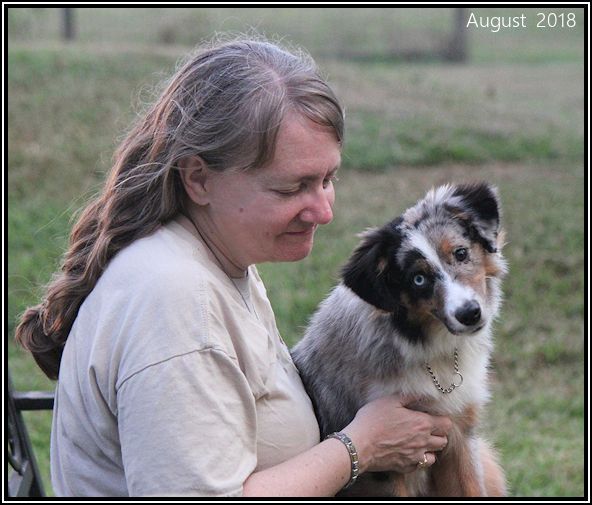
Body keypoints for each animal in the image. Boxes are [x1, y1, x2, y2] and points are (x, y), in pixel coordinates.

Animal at [291, 182, 508, 497]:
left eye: (461, 253)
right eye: (418, 279)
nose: (470, 314)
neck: (429, 351)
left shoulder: (458, 434)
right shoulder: (388, 467)